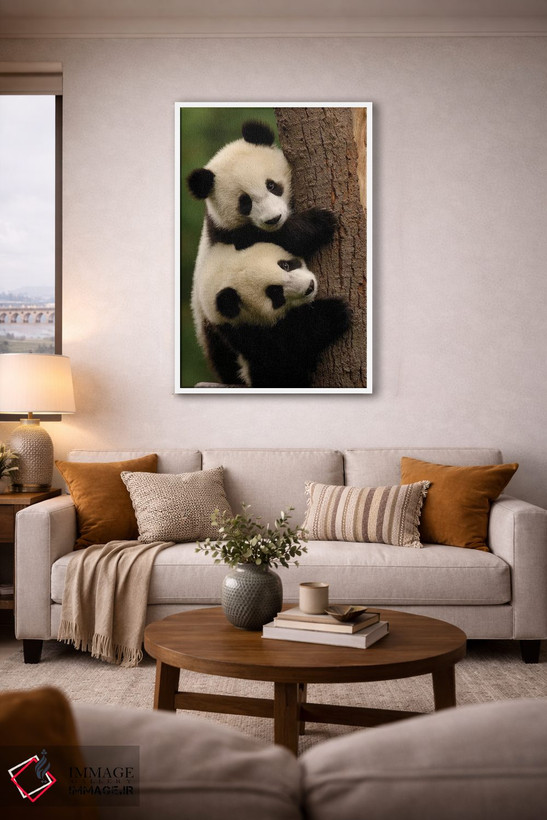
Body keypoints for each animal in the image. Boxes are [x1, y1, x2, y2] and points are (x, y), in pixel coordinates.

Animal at [197, 242, 350, 388]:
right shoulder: (244, 333)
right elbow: (281, 356)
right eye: (276, 293)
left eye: (285, 265)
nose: (310, 287)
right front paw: (333, 312)